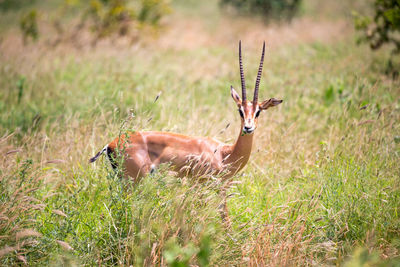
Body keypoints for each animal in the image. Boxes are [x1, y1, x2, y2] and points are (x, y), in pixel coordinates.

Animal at [89, 41, 282, 224]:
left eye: (258, 111)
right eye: (240, 111)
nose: (248, 128)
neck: (224, 153)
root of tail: (112, 143)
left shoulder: (219, 189)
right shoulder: (202, 185)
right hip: (135, 181)